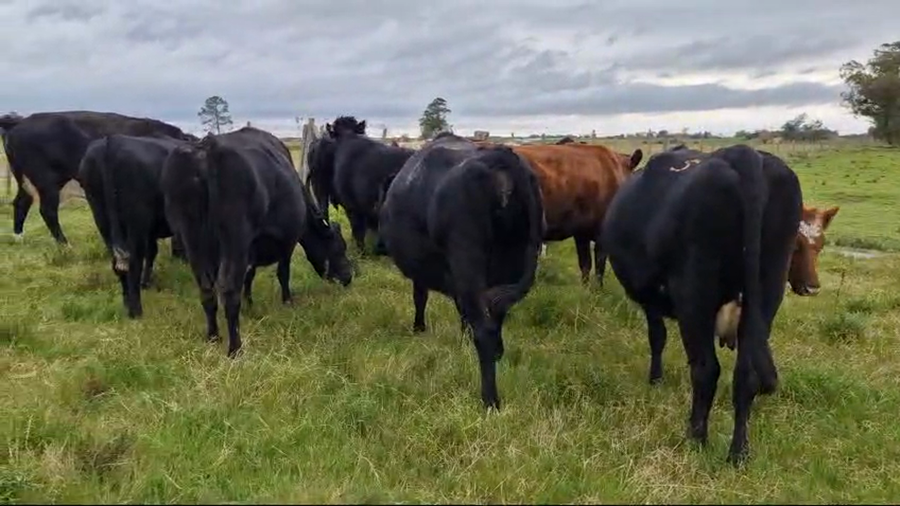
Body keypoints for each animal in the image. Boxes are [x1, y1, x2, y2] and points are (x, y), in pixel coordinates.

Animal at [78, 134, 192, 318]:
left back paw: (127, 304)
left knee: (118, 264)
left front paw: (146, 283)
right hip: (136, 222)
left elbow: (152, 252)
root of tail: (112, 141)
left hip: (102, 219)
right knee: (133, 264)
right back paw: (136, 311)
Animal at [160, 126, 353, 357]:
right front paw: (287, 301)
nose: (349, 276)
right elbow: (282, 273)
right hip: (234, 237)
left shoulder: (249, 249)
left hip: (192, 239)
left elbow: (249, 276)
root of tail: (206, 148)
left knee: (206, 288)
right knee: (228, 288)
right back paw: (235, 349)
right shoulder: (286, 241)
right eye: (340, 248)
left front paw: (249, 304)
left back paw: (213, 336)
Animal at [378, 133, 545, 410]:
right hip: (512, 259)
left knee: (485, 329)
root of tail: (500, 158)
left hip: (468, 259)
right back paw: (498, 354)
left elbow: (420, 297)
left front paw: (419, 328)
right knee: (496, 315)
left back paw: (490, 400)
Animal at [601, 143, 806, 466]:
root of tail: (742, 153)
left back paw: (696, 437)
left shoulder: (652, 300)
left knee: (706, 369)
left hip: (694, 294)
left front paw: (655, 379)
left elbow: (657, 337)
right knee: (745, 375)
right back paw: (738, 452)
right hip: (768, 287)